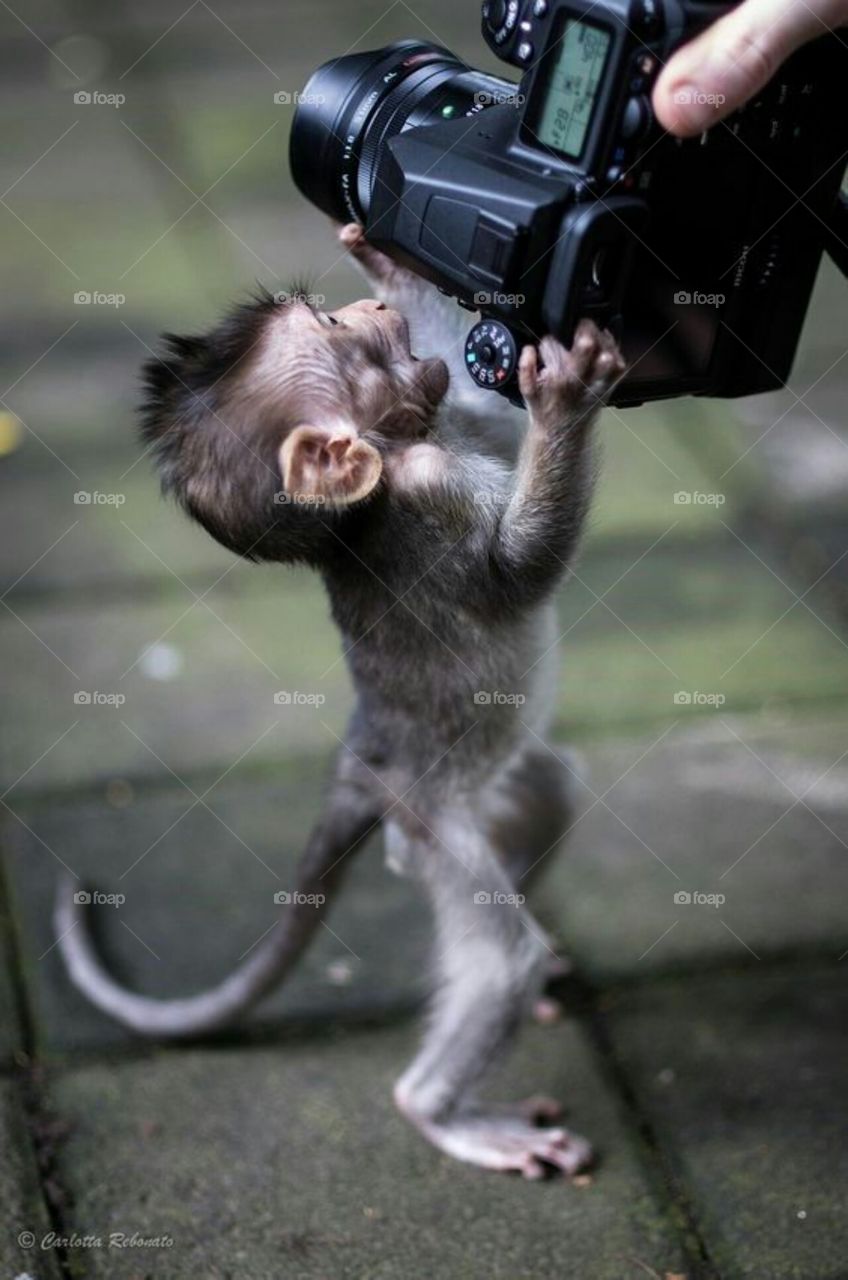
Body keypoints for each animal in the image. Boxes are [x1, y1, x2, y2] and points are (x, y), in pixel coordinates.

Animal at [55, 222, 624, 1179]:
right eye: (332, 328)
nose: (370, 306)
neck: (371, 495)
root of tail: (367, 759)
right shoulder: (426, 487)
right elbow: (519, 571)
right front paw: (567, 396)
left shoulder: (437, 435)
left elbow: (490, 424)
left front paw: (392, 262)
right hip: (429, 815)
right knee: (496, 962)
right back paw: (441, 1110)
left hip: (472, 794)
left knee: (547, 791)